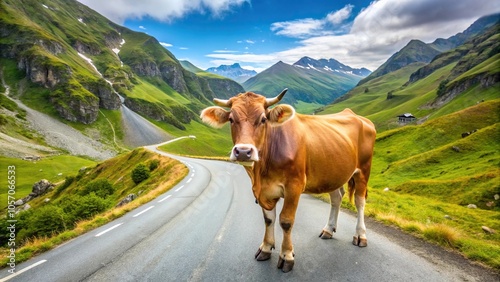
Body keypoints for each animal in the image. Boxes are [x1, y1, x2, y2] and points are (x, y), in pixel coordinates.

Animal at [199, 89, 376, 272]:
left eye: (263, 119)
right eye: (231, 119)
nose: (243, 151)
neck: (261, 173)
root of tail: (357, 116)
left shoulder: (294, 186)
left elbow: (286, 221)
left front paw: (287, 255)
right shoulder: (265, 191)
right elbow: (269, 219)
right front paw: (266, 248)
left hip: (363, 171)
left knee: (360, 202)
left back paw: (360, 235)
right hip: (333, 173)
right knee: (337, 198)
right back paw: (328, 229)